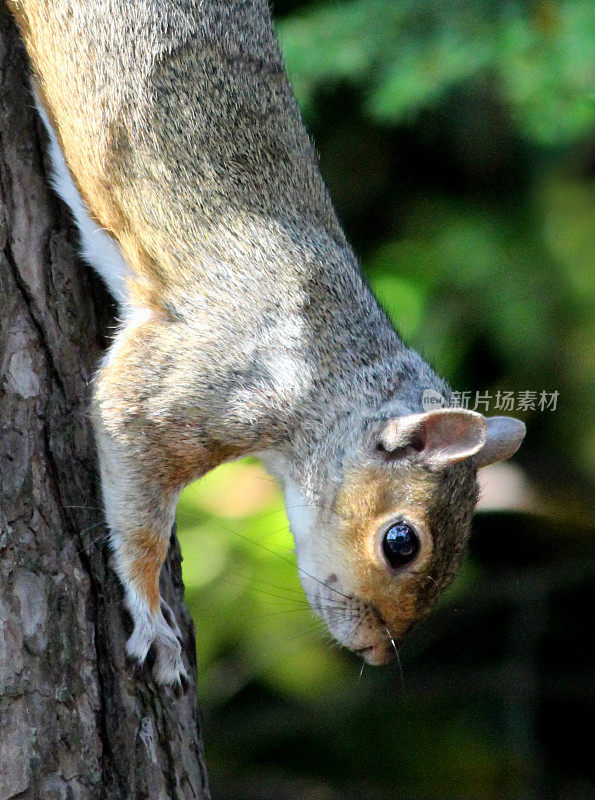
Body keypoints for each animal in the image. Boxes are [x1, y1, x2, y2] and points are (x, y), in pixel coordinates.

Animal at [9, 0, 528, 688]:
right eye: (401, 542)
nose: (377, 653)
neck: (330, 371)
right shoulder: (190, 381)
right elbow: (137, 501)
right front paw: (153, 619)